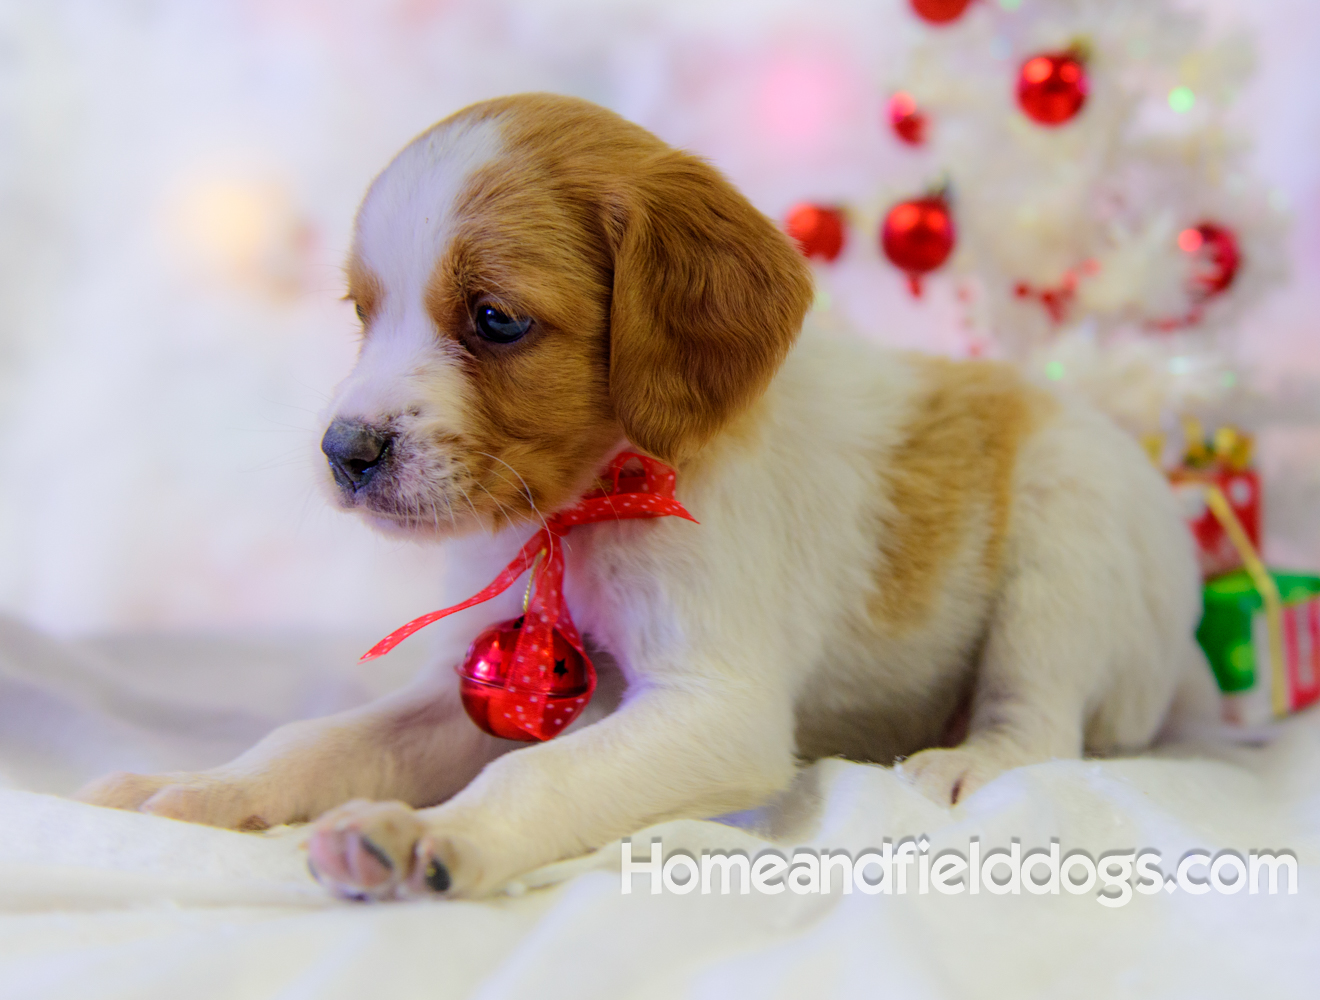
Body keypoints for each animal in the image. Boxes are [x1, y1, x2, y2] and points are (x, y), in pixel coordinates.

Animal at [79, 97, 1214, 902]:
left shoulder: (716, 709)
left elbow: (543, 776)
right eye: (365, 312)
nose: (343, 452)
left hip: (1069, 536)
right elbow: (314, 741)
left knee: (1044, 718)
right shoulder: (472, 687)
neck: (585, 511)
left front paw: (436, 832)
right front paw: (199, 790)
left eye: (494, 319)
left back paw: (972, 765)